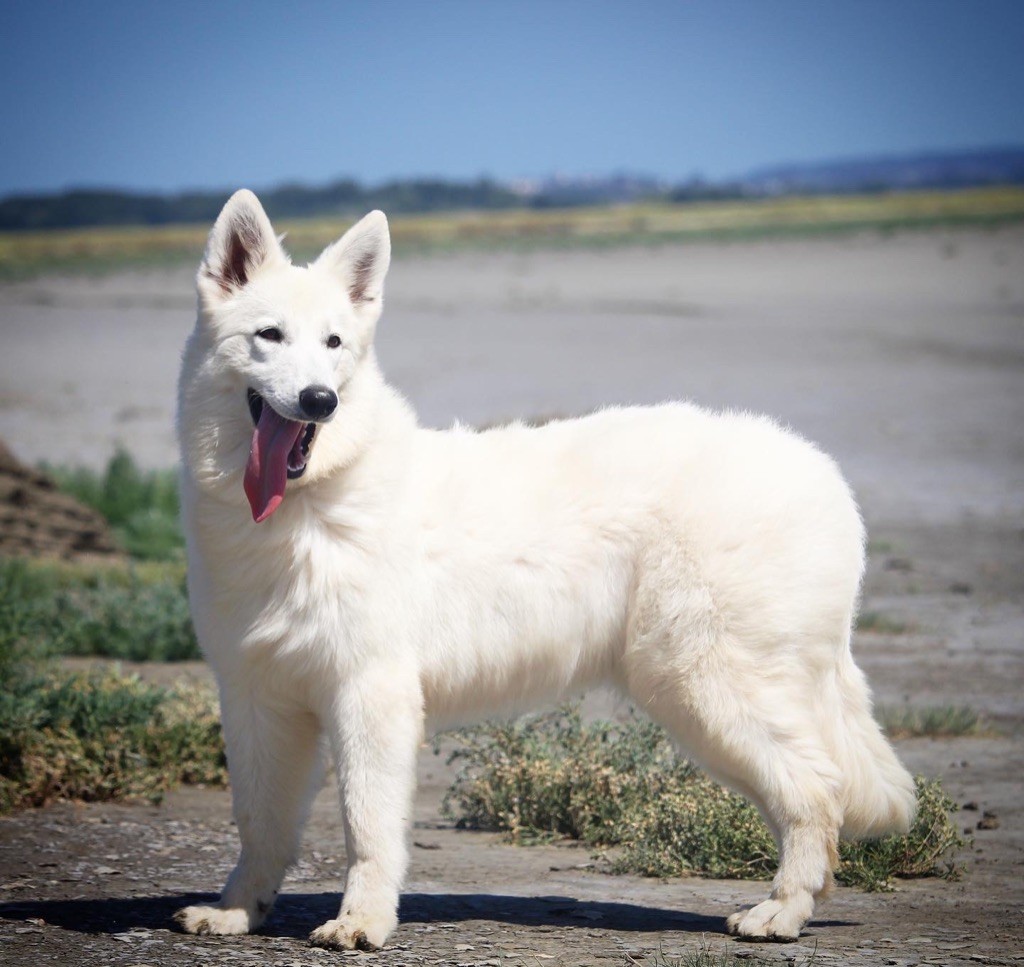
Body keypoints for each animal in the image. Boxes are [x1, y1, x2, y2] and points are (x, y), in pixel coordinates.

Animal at [172, 190, 917, 950]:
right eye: (268, 335)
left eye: (333, 344)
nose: (320, 400)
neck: (309, 503)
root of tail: (822, 473)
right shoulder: (258, 698)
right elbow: (260, 823)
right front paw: (237, 910)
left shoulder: (368, 691)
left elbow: (367, 824)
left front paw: (361, 920)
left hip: (703, 684)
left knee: (814, 791)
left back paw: (782, 911)